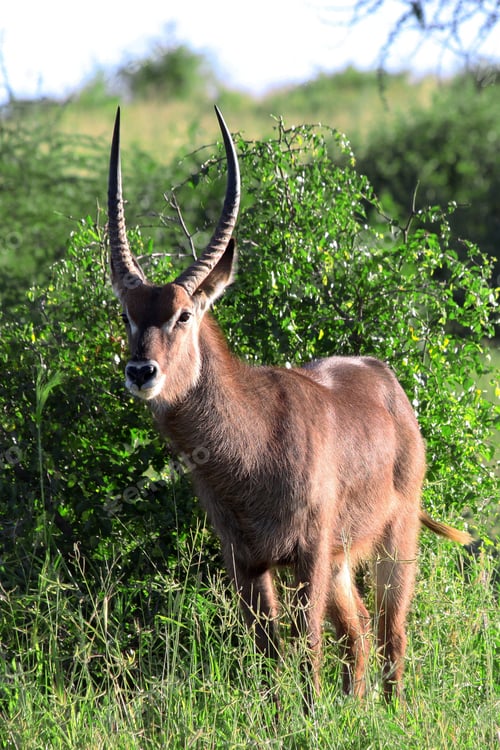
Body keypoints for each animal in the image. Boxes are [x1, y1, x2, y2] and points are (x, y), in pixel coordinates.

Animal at [107, 106, 472, 704]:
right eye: (127, 314)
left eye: (183, 314)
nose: (142, 372)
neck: (251, 448)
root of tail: (384, 376)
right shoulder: (246, 561)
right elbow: (270, 652)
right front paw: (285, 713)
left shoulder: (309, 551)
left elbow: (308, 648)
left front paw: (311, 712)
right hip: (344, 561)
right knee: (360, 631)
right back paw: (356, 705)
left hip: (393, 541)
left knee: (392, 632)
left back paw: (393, 709)